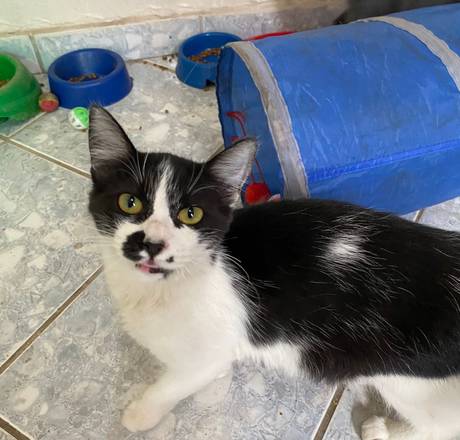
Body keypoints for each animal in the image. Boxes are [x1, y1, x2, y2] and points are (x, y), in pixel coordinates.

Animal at [88, 106, 460, 440]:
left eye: (191, 214)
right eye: (130, 203)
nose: (152, 243)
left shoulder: (211, 351)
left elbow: (176, 383)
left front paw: (140, 413)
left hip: (408, 382)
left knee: (440, 426)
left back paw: (382, 429)